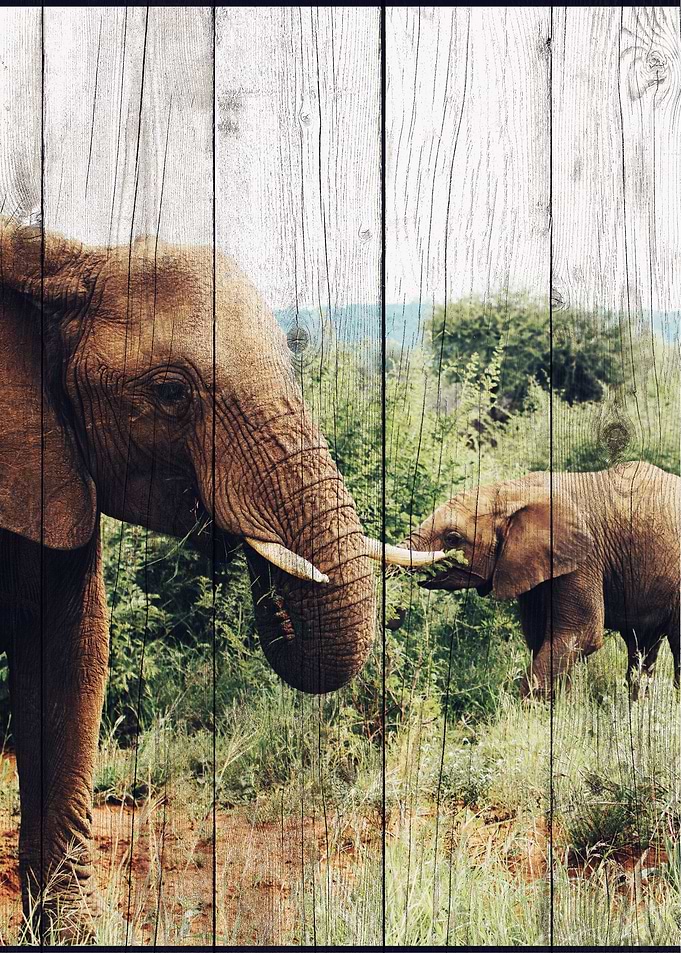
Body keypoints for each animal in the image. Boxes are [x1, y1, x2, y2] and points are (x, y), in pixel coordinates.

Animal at [0, 216, 435, 938]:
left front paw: (70, 933)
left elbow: (70, 647)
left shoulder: (54, 465)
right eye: (170, 392)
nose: (272, 590)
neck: (68, 257)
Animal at [398, 464, 680, 699]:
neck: (515, 490)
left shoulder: (583, 558)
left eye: (453, 538)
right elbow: (540, 637)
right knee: (642, 645)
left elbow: (579, 634)